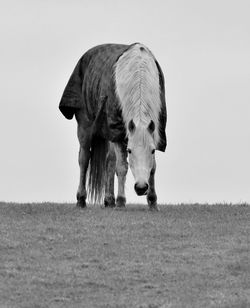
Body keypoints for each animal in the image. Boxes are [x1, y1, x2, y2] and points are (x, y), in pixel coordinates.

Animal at [59, 42, 167, 209]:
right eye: (130, 150)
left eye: (153, 150)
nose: (141, 188)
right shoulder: (118, 131)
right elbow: (122, 166)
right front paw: (121, 201)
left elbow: (152, 167)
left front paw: (153, 201)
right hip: (85, 126)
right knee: (84, 158)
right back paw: (81, 199)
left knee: (109, 161)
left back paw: (109, 200)